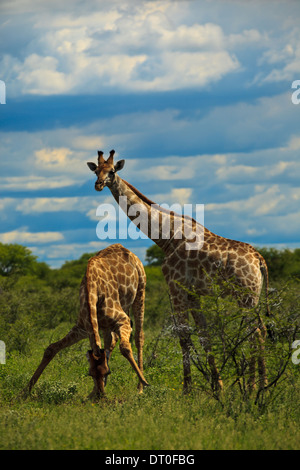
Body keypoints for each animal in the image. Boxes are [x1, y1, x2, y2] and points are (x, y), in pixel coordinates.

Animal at [23, 244, 149, 398]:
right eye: (90, 374)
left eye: (108, 372)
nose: (100, 397)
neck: (92, 292)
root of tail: (127, 251)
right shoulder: (82, 328)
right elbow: (51, 348)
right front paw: (24, 392)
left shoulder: (122, 320)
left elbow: (125, 347)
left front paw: (143, 383)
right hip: (108, 323)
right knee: (110, 341)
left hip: (140, 291)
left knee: (138, 337)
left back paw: (140, 388)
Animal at [87, 151, 272, 392]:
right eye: (96, 171)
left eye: (111, 171)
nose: (98, 184)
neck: (166, 236)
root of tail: (259, 259)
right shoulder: (193, 294)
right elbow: (203, 335)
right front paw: (217, 385)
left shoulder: (175, 286)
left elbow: (183, 336)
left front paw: (187, 388)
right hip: (252, 297)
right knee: (260, 331)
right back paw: (259, 384)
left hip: (246, 296)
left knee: (255, 333)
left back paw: (254, 386)